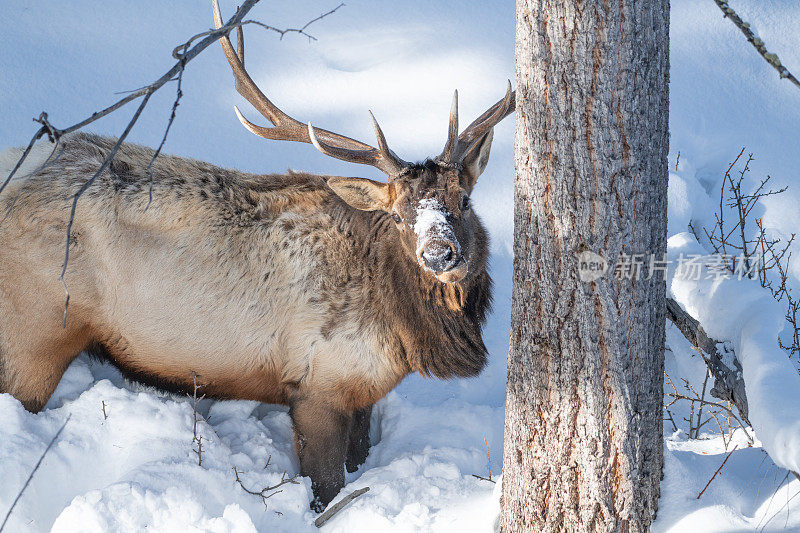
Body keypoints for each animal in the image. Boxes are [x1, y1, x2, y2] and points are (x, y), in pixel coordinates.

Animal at [0, 2, 512, 510]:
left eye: (464, 200)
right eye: (401, 215)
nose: (440, 253)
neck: (401, 327)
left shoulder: (363, 392)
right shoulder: (316, 386)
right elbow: (327, 490)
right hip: (35, 334)